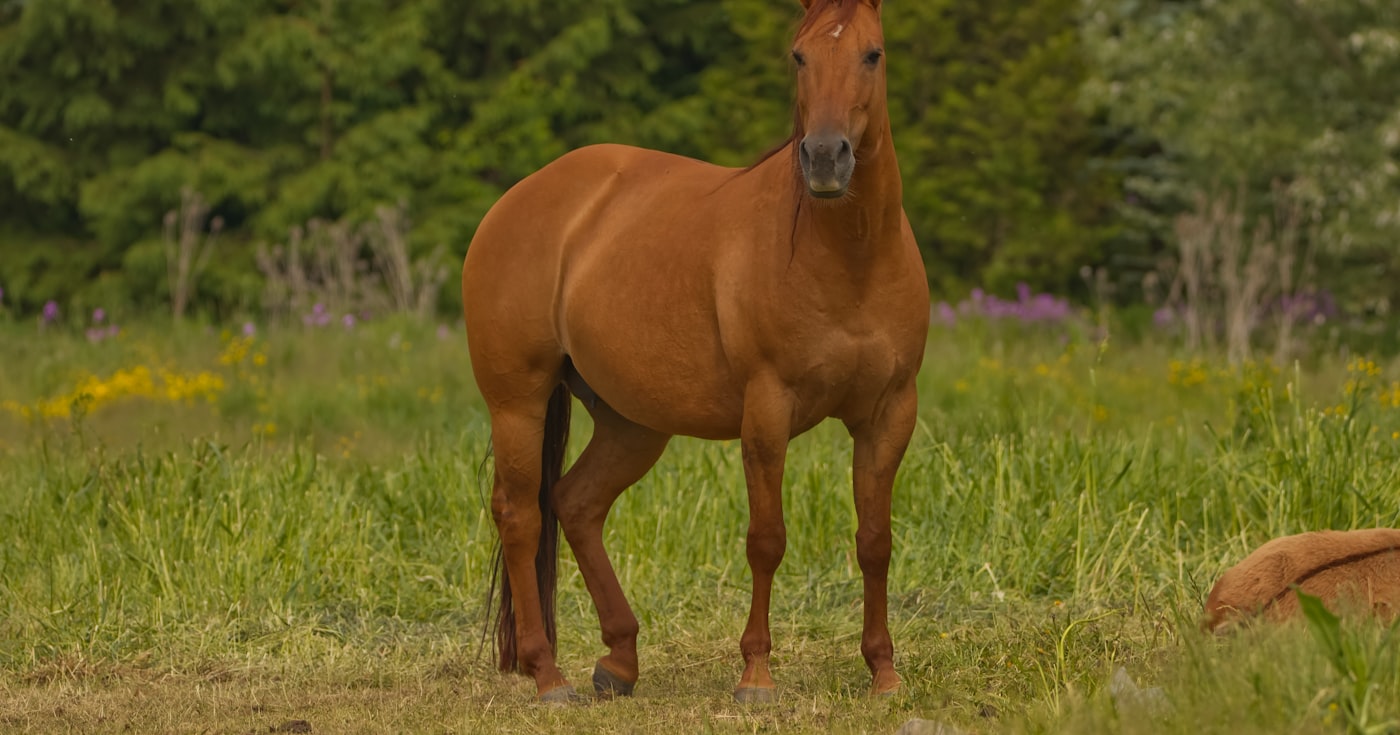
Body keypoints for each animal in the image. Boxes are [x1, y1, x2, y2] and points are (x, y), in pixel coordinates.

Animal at [462, 0, 929, 704]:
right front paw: (756, 676)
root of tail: (520, 199)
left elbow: (875, 542)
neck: (850, 260)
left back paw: (620, 660)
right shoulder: (767, 412)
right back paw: (548, 674)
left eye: (872, 54)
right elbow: (766, 540)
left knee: (576, 504)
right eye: (799, 56)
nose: (825, 158)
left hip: (631, 423)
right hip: (519, 402)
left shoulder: (889, 415)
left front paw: (883, 671)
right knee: (520, 516)